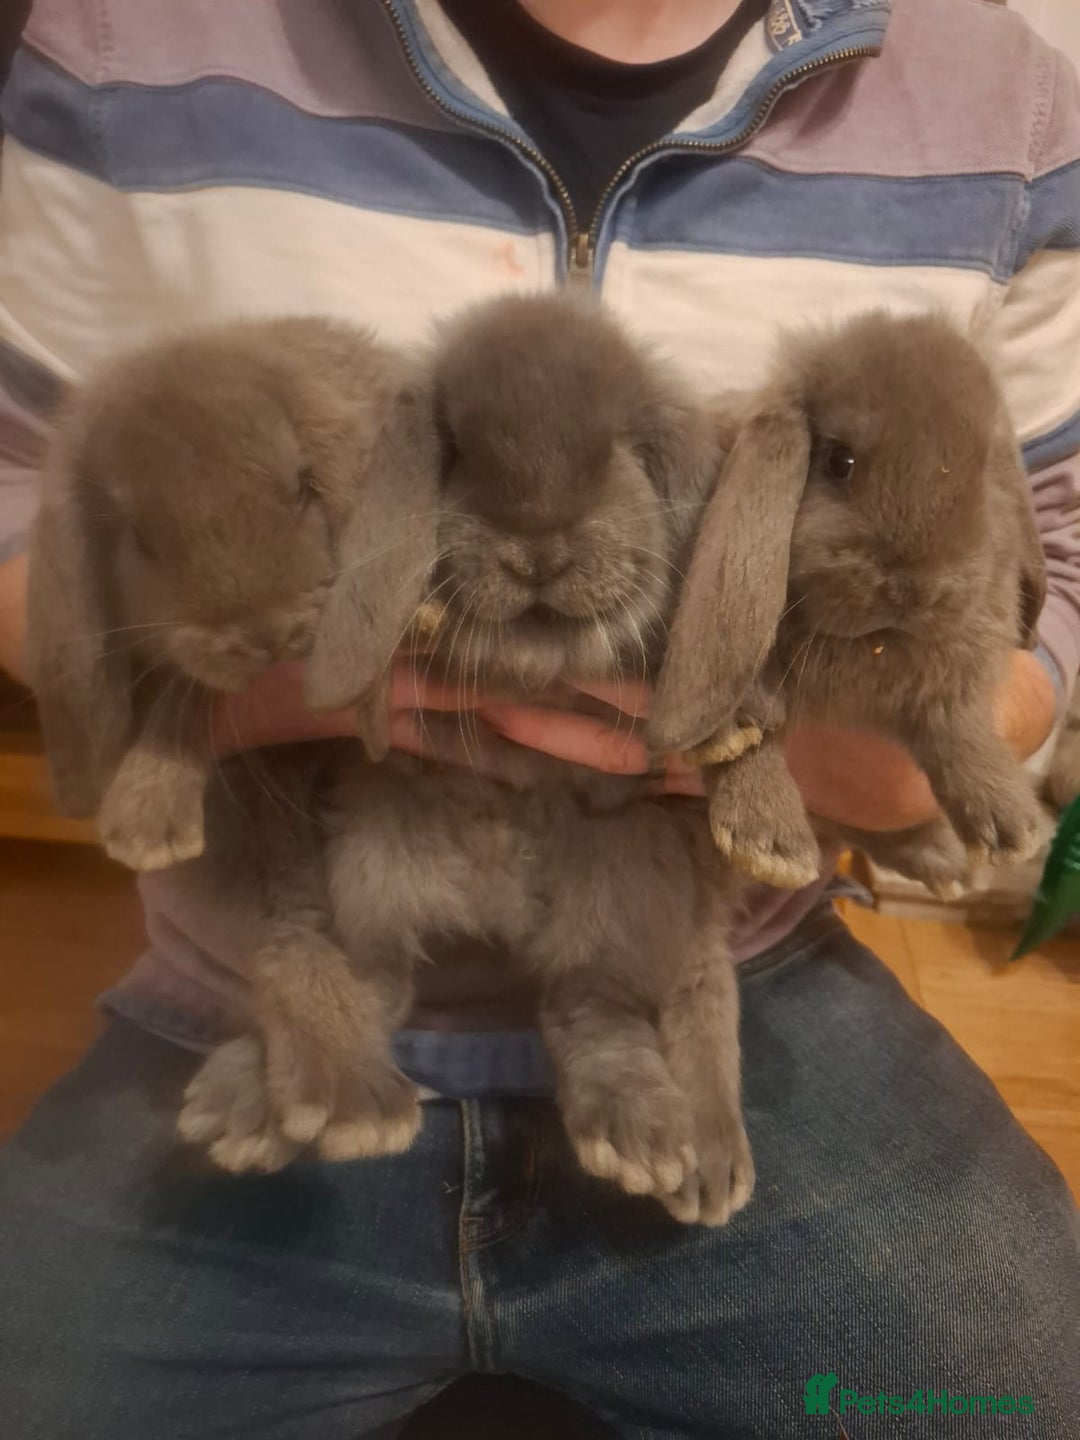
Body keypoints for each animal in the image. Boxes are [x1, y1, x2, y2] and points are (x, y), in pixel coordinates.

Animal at [181, 292, 753, 1224]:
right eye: (457, 450)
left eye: (623, 450)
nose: (538, 551)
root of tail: (497, 898)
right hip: (365, 864)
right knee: (364, 981)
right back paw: (262, 1105)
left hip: (626, 877)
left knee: (599, 1006)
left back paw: (652, 1141)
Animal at [646, 310, 1049, 894]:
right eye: (841, 460)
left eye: (980, 469)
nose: (912, 588)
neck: (875, 644)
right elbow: (746, 743)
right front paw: (769, 846)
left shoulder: (953, 684)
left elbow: (958, 730)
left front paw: (1012, 827)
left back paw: (943, 862)